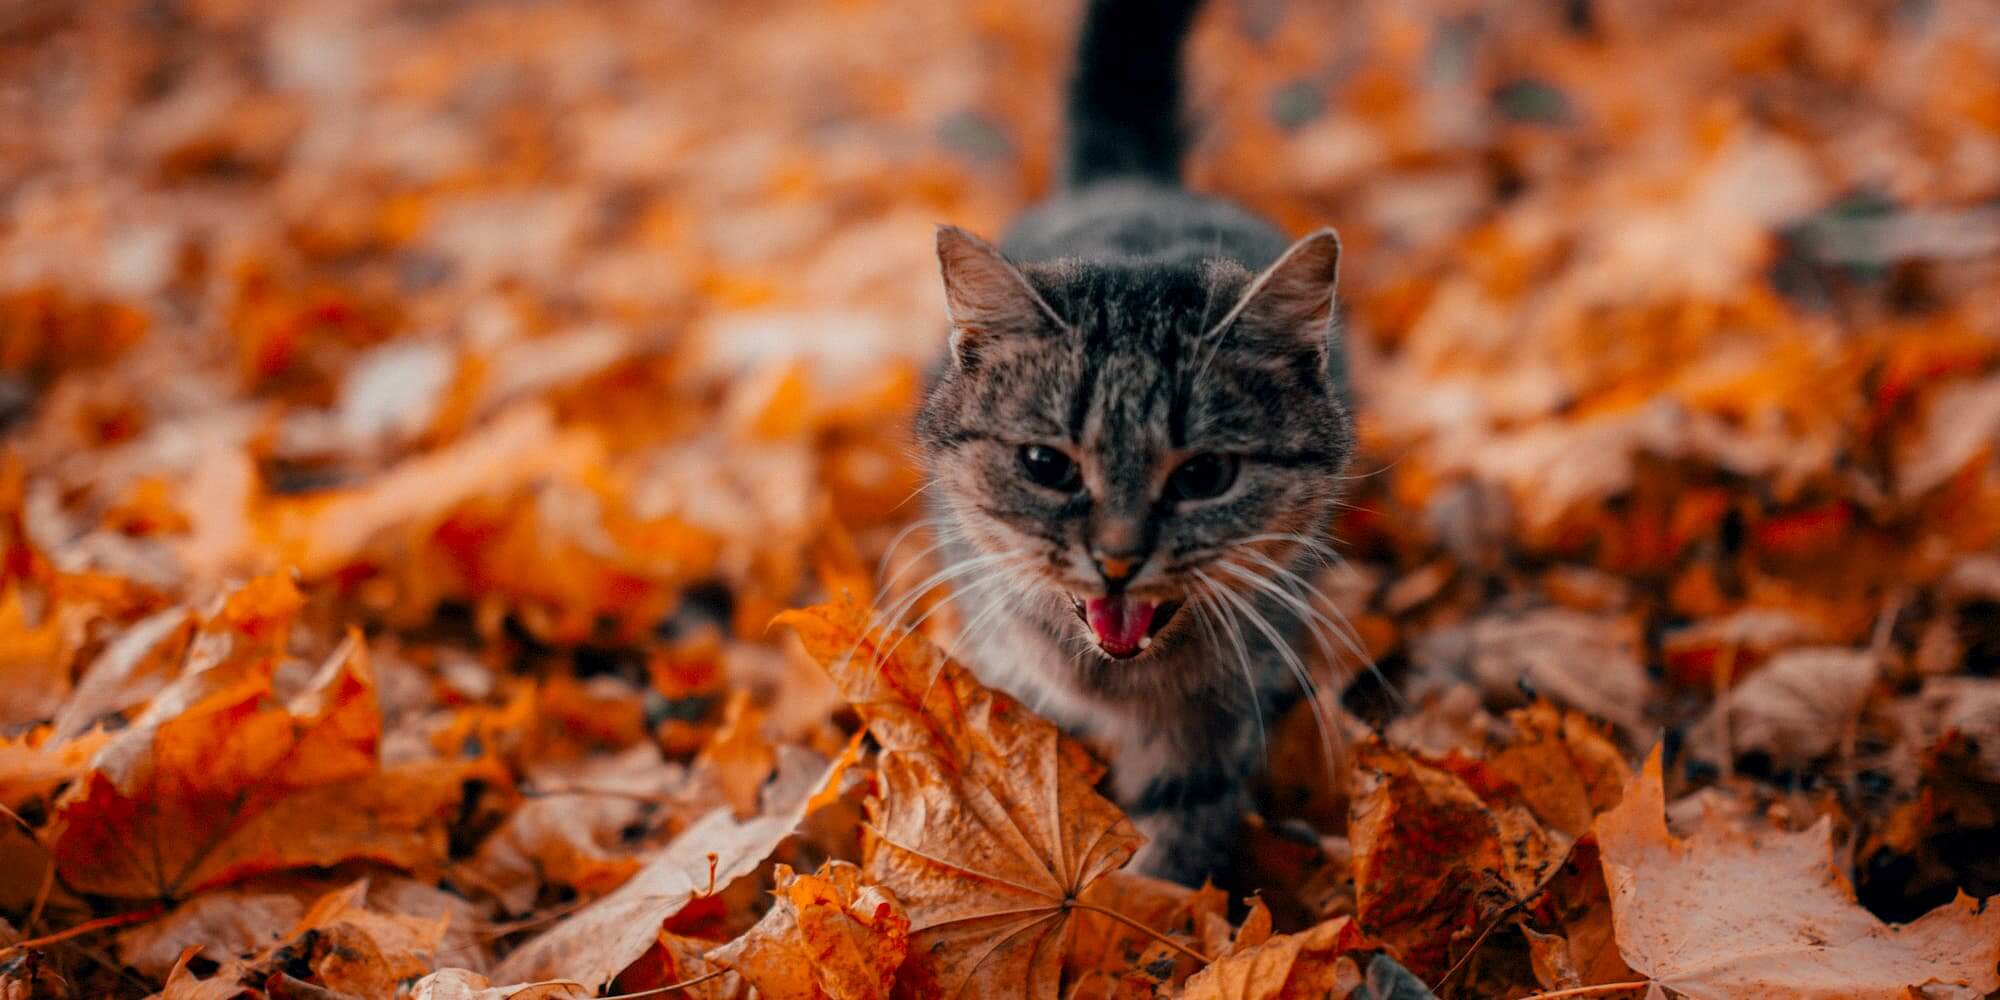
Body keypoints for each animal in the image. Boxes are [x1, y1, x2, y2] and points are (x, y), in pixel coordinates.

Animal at [912, 0, 1352, 884]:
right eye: (1045, 465)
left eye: (1206, 475)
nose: (1117, 559)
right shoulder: (1009, 692)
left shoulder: (1214, 720)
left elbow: (1171, 856)